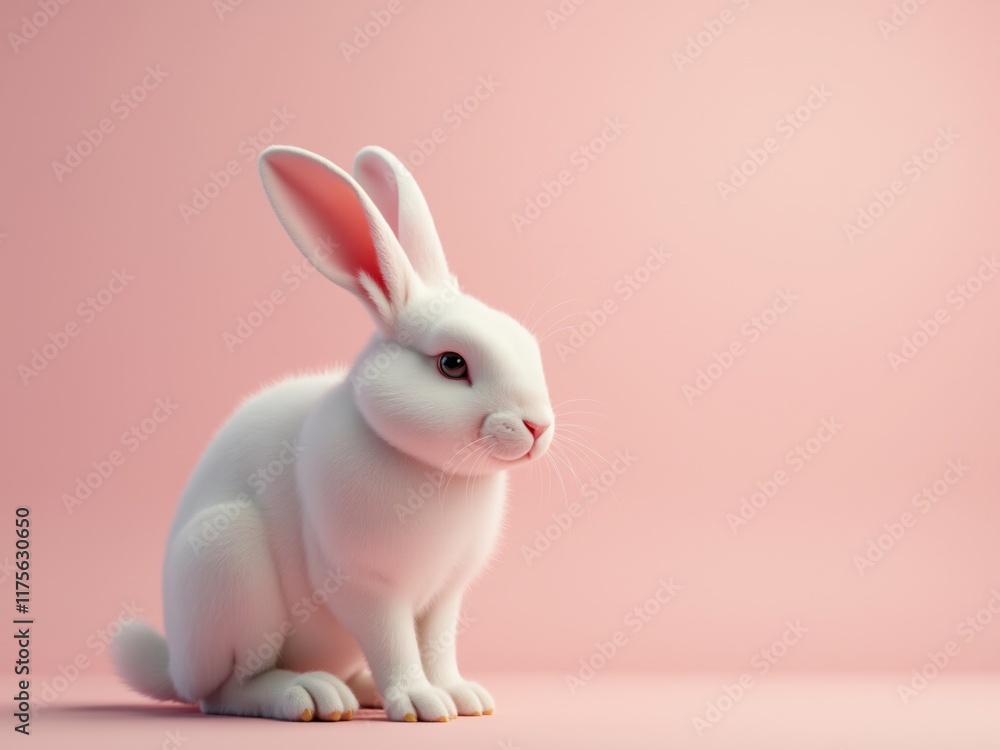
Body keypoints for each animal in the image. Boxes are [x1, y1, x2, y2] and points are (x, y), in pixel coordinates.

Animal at [112, 145, 555, 722]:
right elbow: (394, 645)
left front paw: (461, 696)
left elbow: (437, 647)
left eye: (527, 343)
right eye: (452, 364)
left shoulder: (445, 595)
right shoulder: (365, 586)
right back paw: (310, 695)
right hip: (227, 566)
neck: (430, 468)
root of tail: (176, 668)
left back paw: (360, 688)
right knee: (227, 690)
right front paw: (418, 702)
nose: (538, 427)